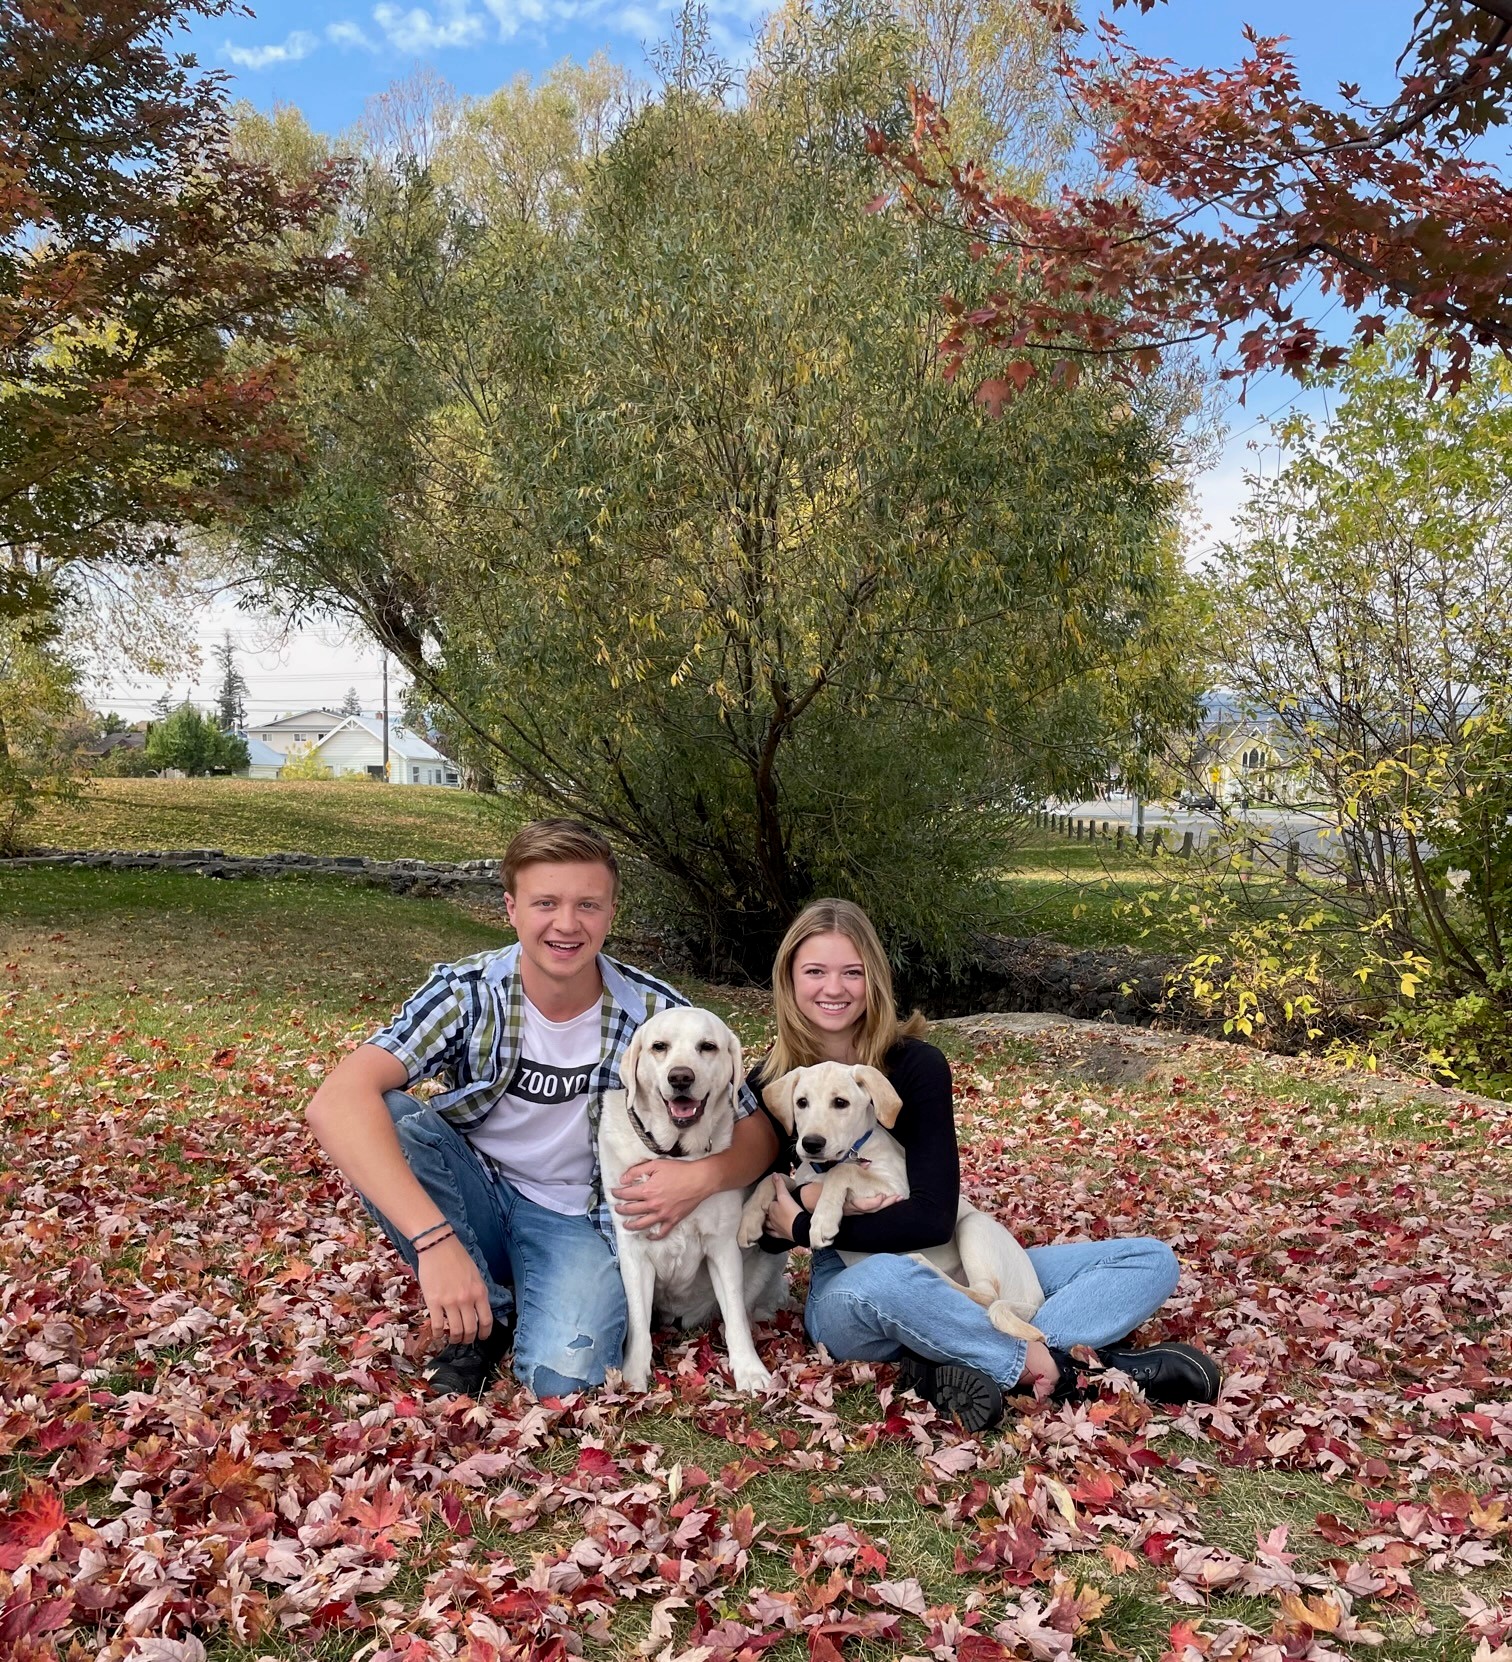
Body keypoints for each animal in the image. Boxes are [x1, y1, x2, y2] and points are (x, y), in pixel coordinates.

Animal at [598, 1003, 787, 1396]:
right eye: (659, 1047)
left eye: (707, 1047)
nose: (680, 1077)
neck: (677, 1156)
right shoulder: (633, 1249)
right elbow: (638, 1321)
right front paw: (634, 1376)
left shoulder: (722, 1245)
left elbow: (734, 1315)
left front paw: (749, 1370)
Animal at [741, 1063, 1050, 1349]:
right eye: (801, 1102)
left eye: (840, 1102)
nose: (811, 1144)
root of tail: (1034, 1299)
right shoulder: (802, 1180)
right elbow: (770, 1179)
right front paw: (748, 1222)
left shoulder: (897, 1190)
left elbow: (843, 1172)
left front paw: (822, 1221)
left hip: (973, 1225)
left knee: (985, 1295)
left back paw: (921, 1262)